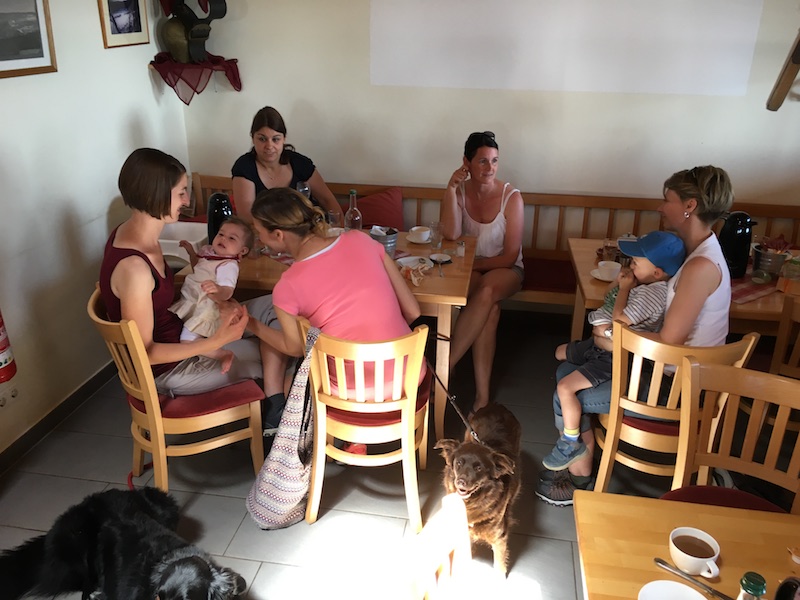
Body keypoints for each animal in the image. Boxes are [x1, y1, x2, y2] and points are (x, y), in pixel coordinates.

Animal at [434, 403, 522, 575]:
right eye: (458, 463)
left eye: (479, 468)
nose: (461, 482)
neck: (473, 502)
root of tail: (497, 405)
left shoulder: (499, 538)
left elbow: (499, 567)